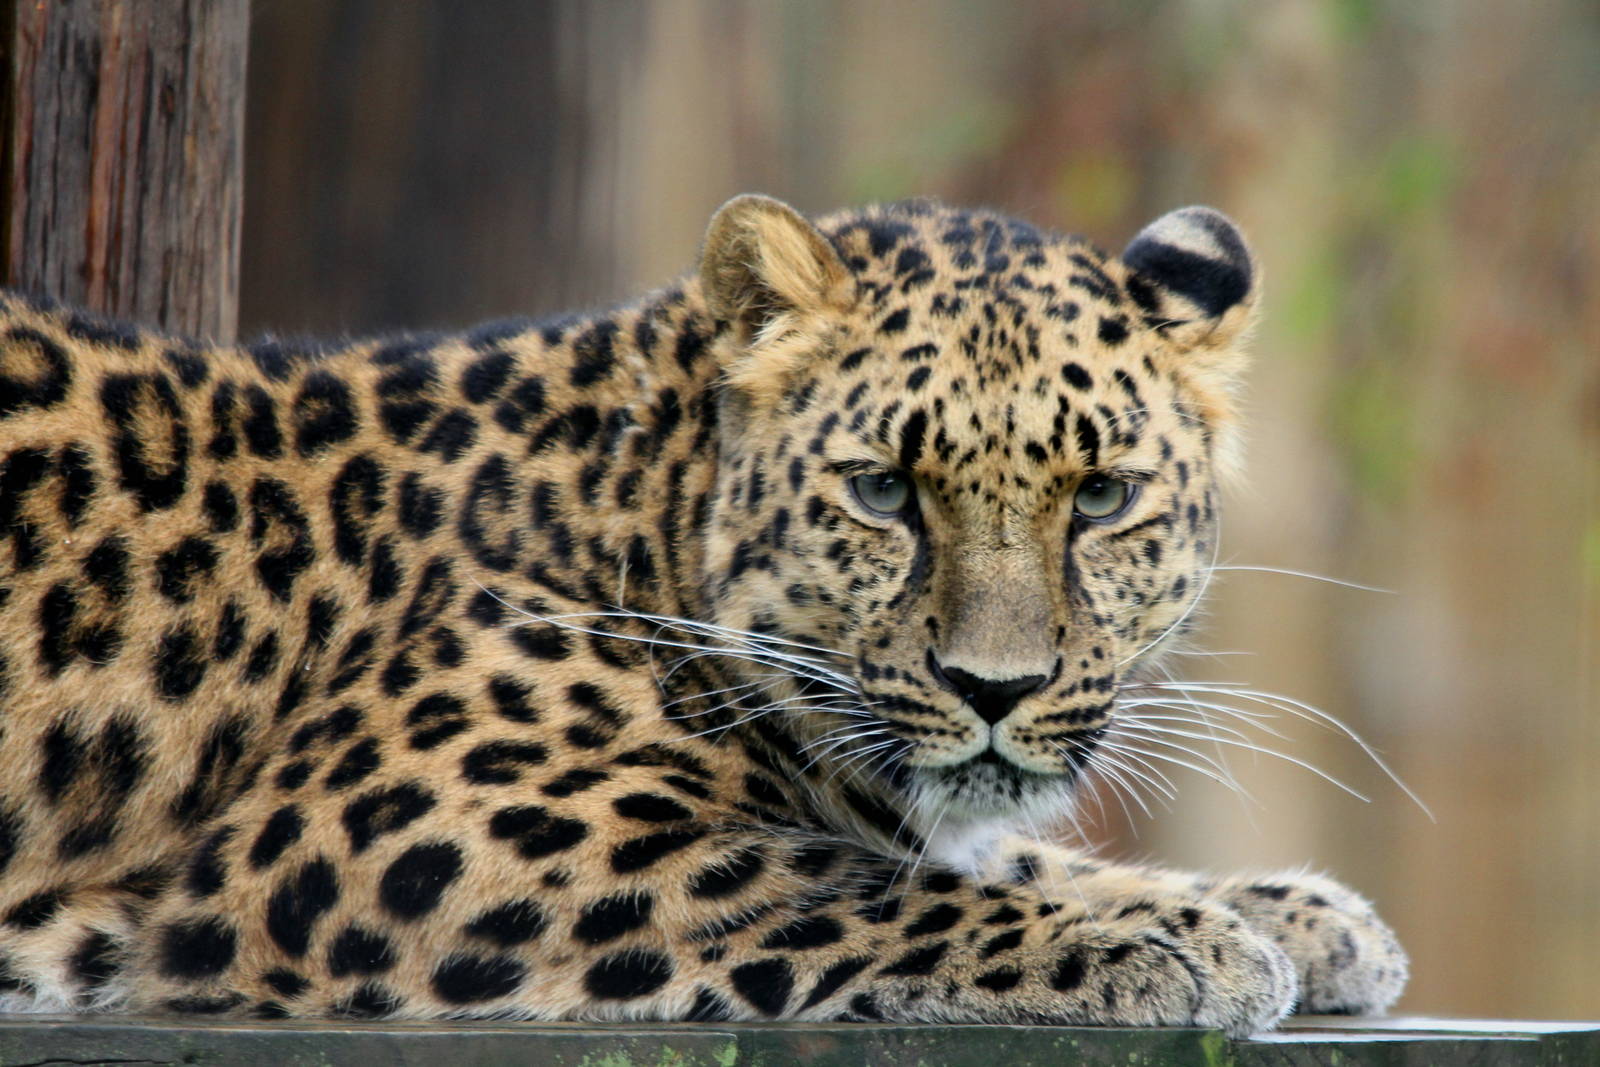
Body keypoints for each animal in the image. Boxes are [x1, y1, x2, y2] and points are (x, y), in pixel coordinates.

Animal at [0, 194, 1406, 1035]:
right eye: (883, 490)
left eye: (1102, 495)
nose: (993, 688)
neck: (636, 520)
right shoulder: (405, 824)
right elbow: (841, 880)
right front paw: (1169, 940)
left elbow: (965, 846)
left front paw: (1296, 915)